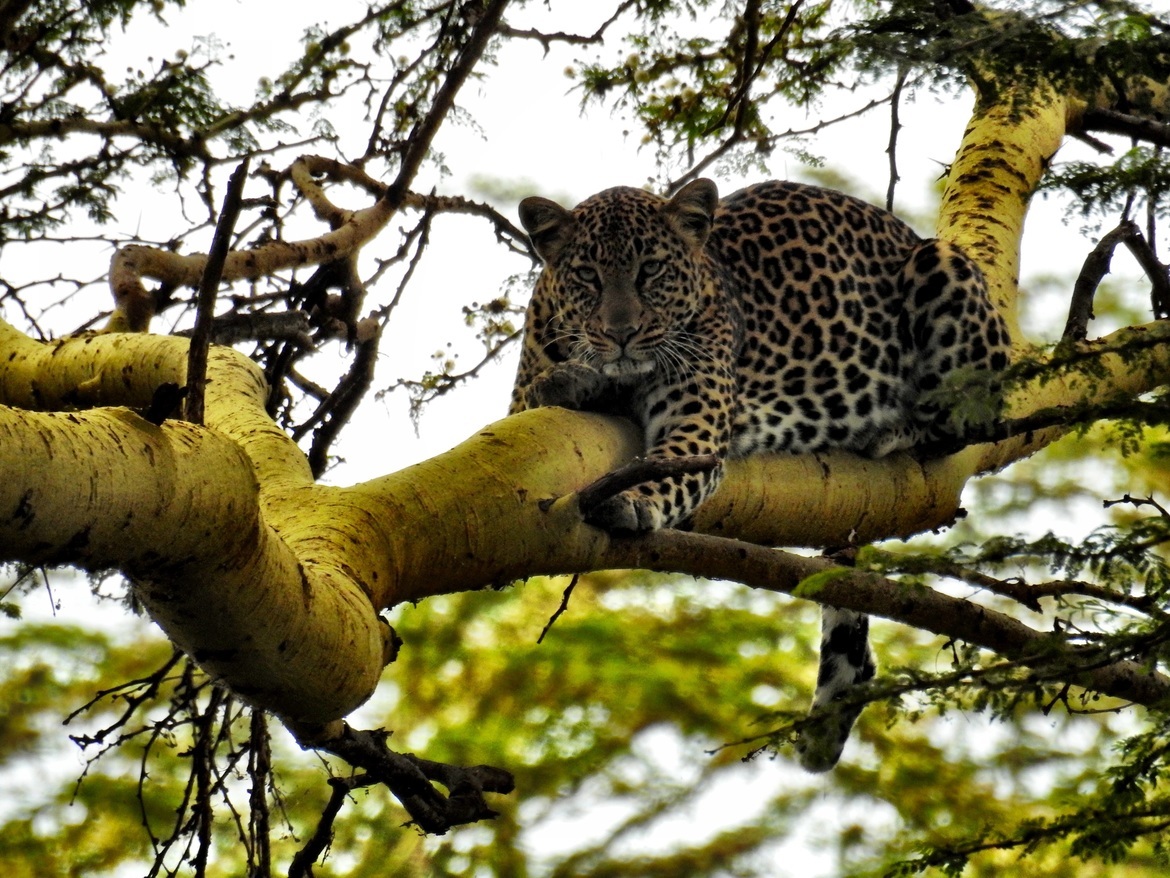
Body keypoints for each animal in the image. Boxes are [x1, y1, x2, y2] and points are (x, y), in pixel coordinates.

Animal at [509, 178, 1011, 771]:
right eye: (588, 275)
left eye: (651, 270)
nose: (622, 332)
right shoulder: (521, 415)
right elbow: (552, 392)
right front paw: (575, 377)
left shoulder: (699, 427)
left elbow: (669, 466)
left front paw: (632, 497)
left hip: (945, 274)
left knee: (963, 421)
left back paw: (892, 429)